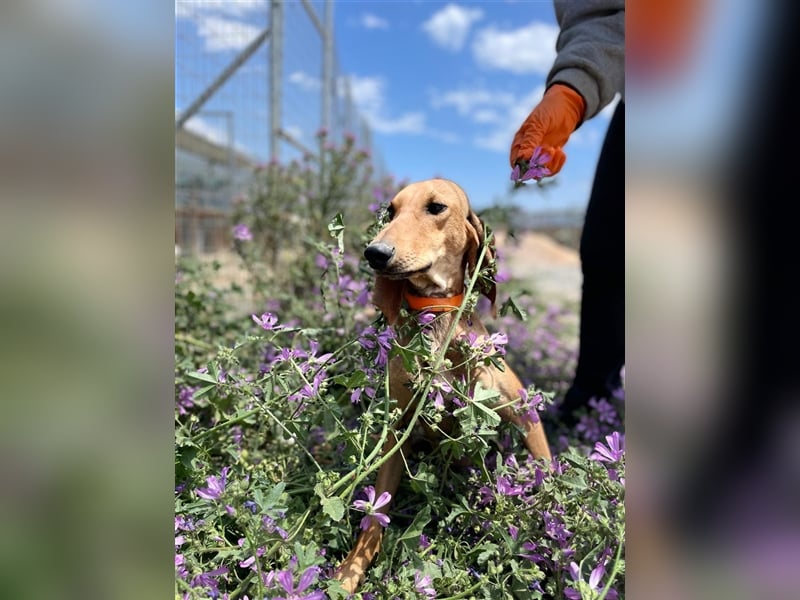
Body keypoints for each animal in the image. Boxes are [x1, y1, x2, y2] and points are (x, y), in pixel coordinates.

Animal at [332, 177, 552, 592]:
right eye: (391, 210)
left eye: (436, 207)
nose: (374, 253)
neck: (436, 318)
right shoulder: (397, 431)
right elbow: (373, 521)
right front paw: (348, 572)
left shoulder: (524, 412)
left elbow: (546, 469)